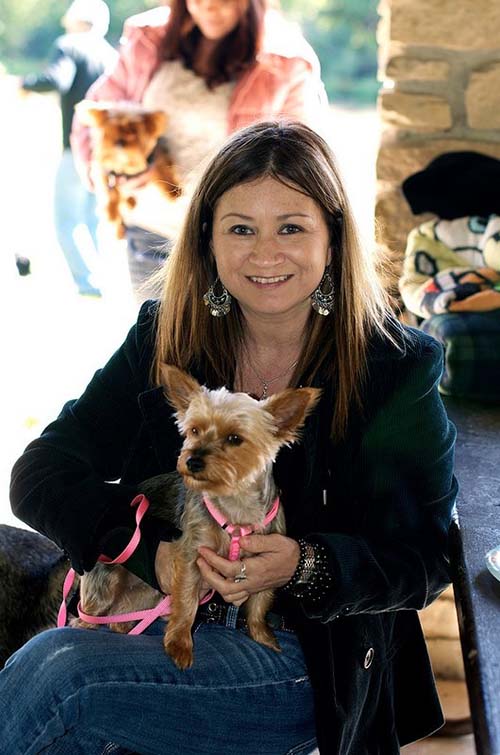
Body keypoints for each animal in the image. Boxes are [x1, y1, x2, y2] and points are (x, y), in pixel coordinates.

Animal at [76, 99, 182, 236]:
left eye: (133, 131)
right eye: (111, 129)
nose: (120, 142)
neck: (123, 166)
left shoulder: (156, 159)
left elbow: (162, 171)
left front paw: (173, 190)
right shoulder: (104, 172)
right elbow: (109, 192)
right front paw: (110, 212)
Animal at [77, 366, 320, 668]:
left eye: (235, 438)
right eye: (194, 430)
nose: (192, 461)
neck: (236, 507)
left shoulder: (268, 561)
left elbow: (260, 604)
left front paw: (263, 638)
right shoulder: (192, 556)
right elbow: (186, 602)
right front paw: (179, 645)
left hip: (146, 593)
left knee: (119, 619)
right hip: (105, 586)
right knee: (84, 618)